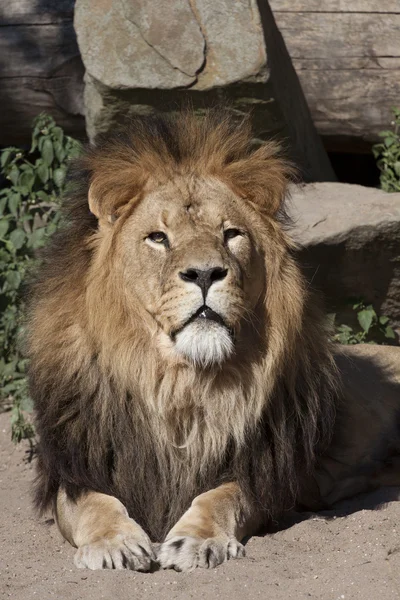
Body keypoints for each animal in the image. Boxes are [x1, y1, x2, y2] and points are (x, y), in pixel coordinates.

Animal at [25, 110, 400, 576]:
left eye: (231, 234)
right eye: (158, 237)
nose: (205, 273)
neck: (179, 383)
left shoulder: (263, 473)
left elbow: (221, 497)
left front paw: (198, 540)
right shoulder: (76, 466)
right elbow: (95, 504)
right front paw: (114, 543)